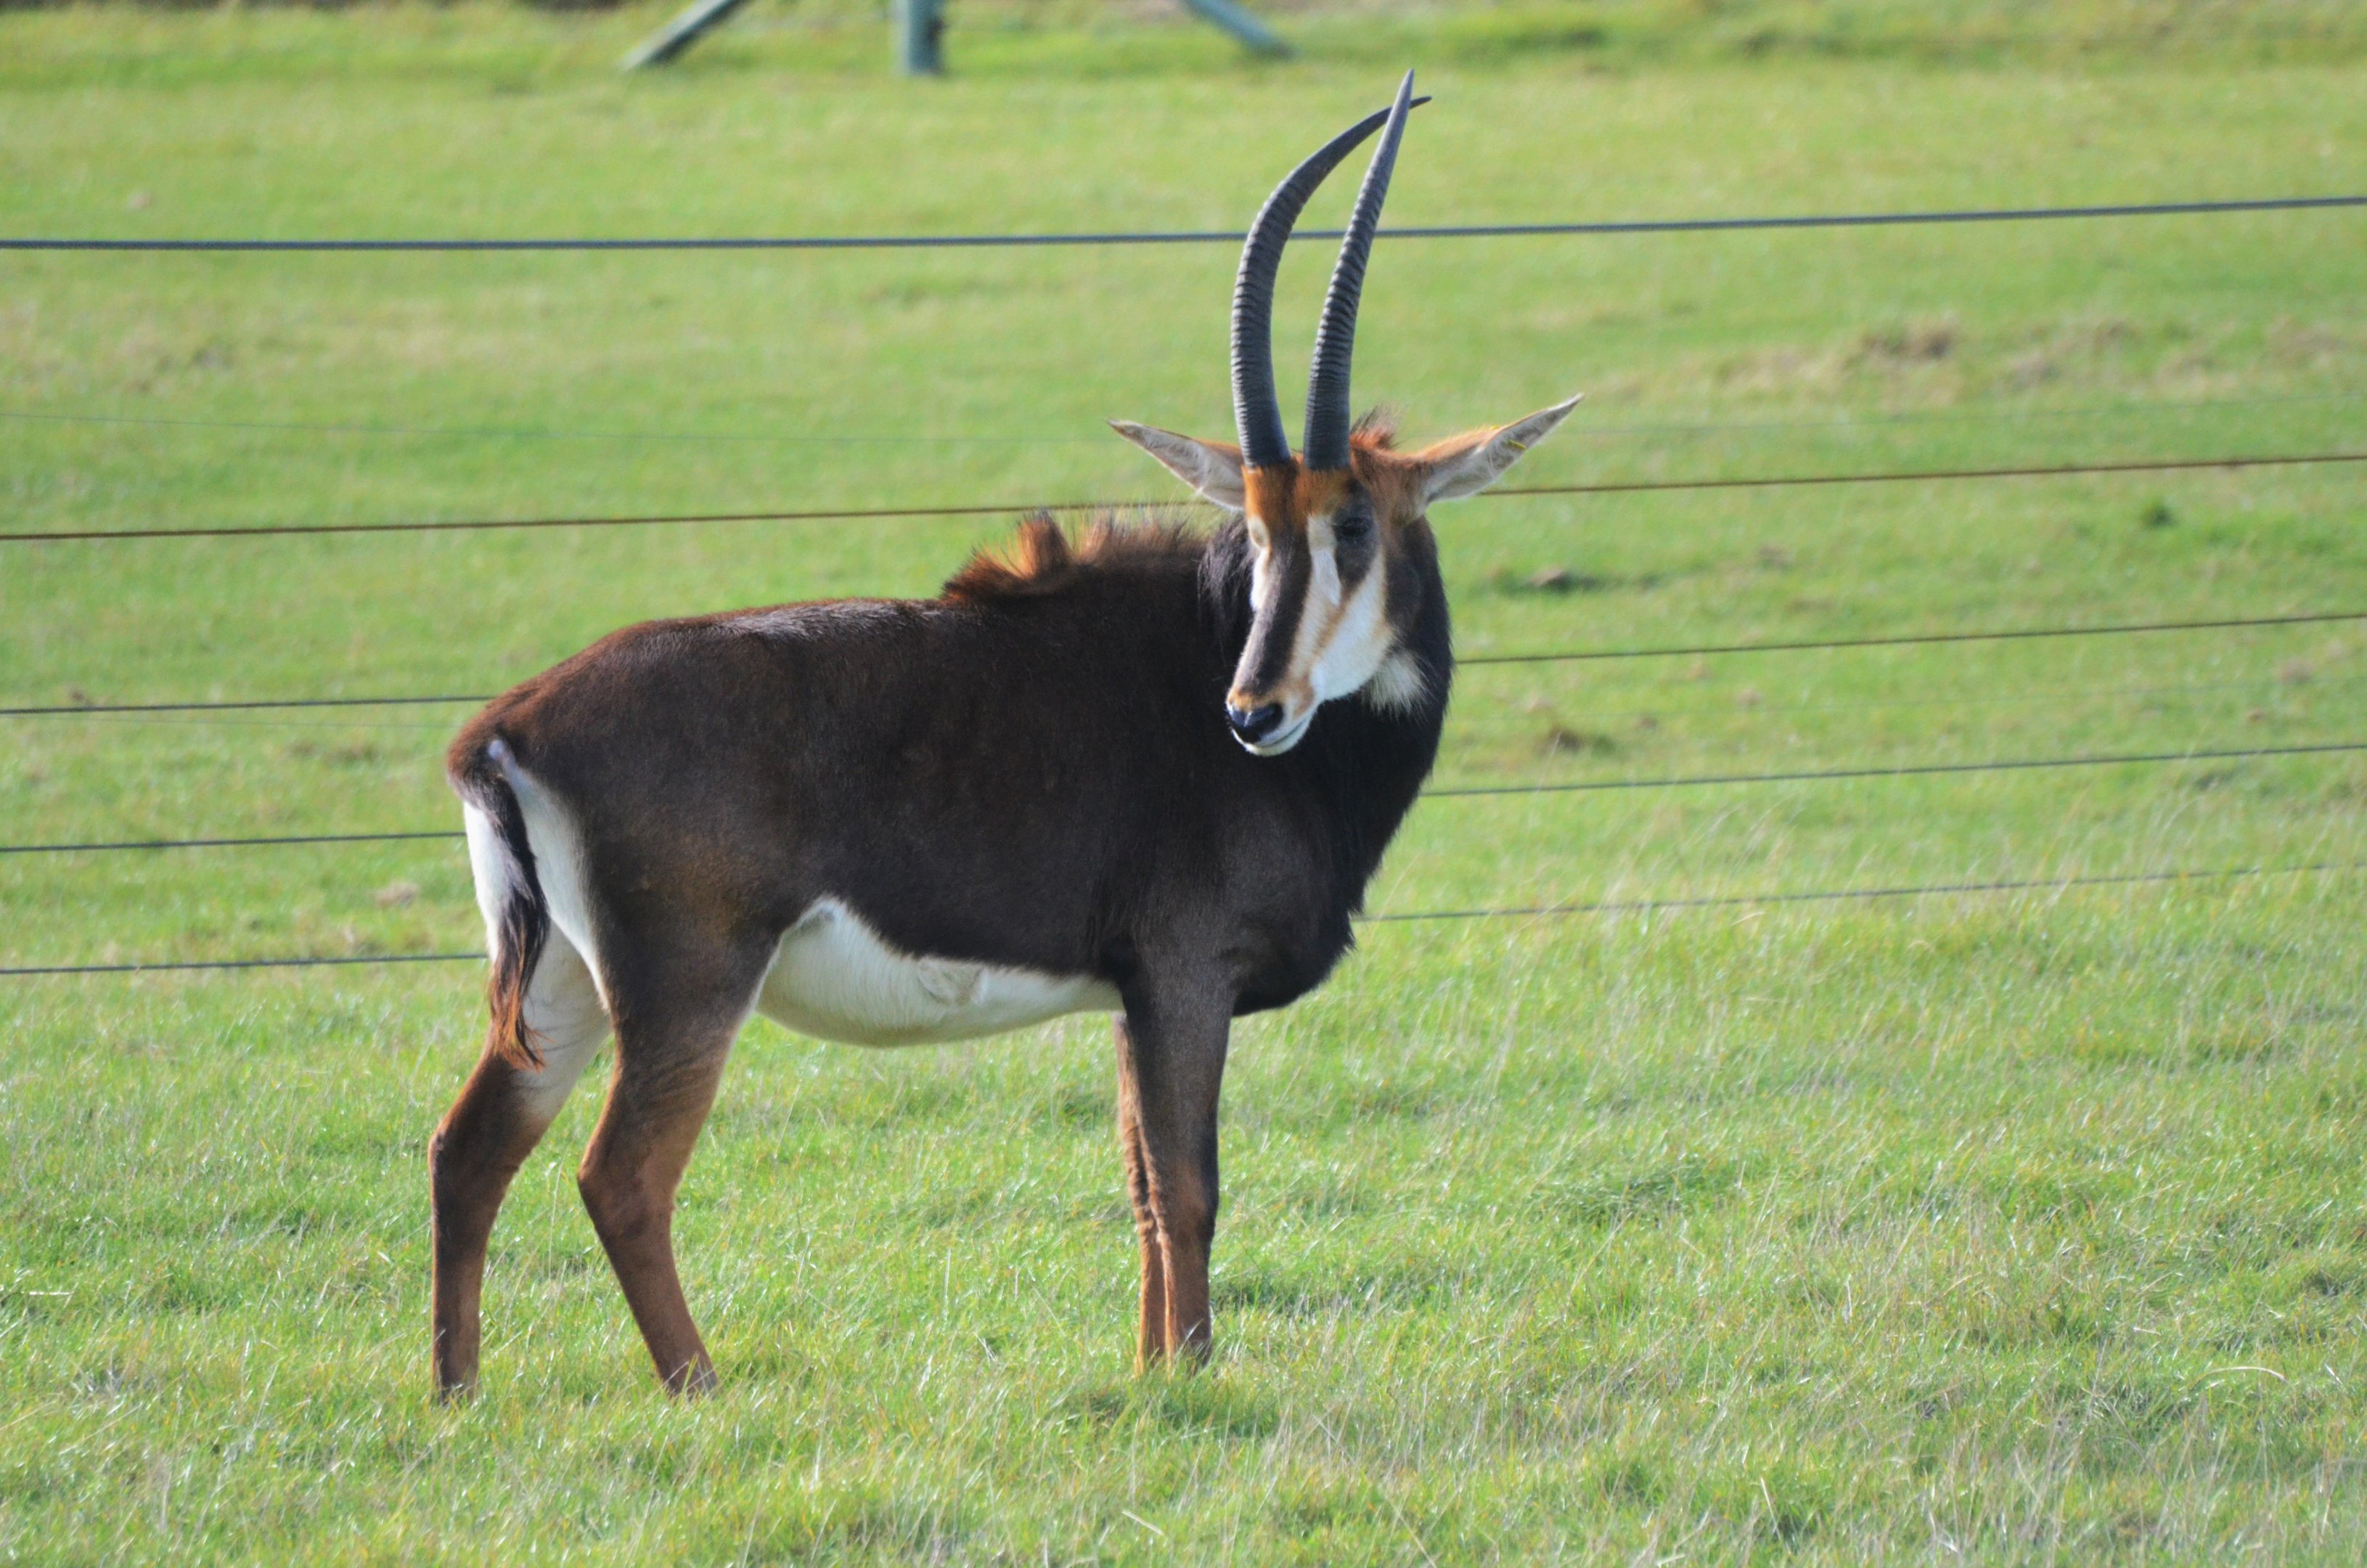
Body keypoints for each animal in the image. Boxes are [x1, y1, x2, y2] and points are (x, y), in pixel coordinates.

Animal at [430, 70, 1579, 1396]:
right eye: (1253, 527)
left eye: (1351, 524)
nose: (1254, 713)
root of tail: (507, 730)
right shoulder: (1186, 973)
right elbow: (1189, 1189)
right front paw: (1190, 1378)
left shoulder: (1135, 992)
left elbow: (1140, 1185)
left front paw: (1149, 1373)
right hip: (686, 984)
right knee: (621, 1177)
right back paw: (699, 1392)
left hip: (560, 981)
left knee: (469, 1150)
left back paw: (457, 1397)